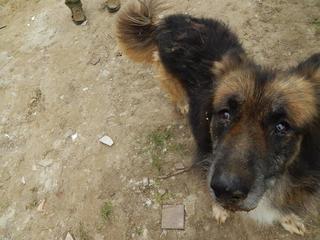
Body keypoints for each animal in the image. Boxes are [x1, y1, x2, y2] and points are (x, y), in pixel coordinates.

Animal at [117, 0, 320, 235]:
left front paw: (289, 218)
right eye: (225, 113)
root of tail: (169, 21)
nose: (225, 190)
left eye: (281, 126)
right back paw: (182, 105)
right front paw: (220, 208)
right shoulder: (206, 156)